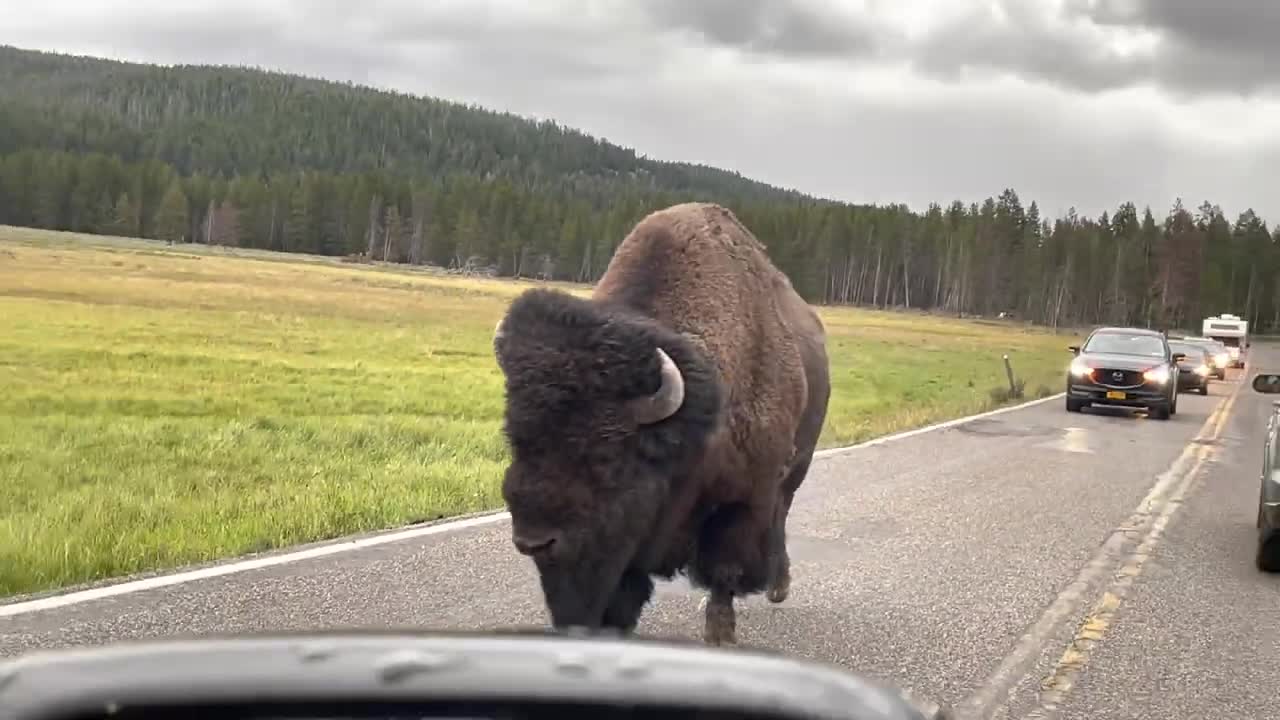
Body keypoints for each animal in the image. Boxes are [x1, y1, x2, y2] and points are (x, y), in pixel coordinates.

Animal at [488, 198, 829, 640]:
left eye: (605, 457)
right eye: (516, 437)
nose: (533, 540)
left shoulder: (745, 498)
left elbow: (725, 572)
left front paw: (720, 634)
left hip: (796, 468)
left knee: (781, 516)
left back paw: (777, 586)